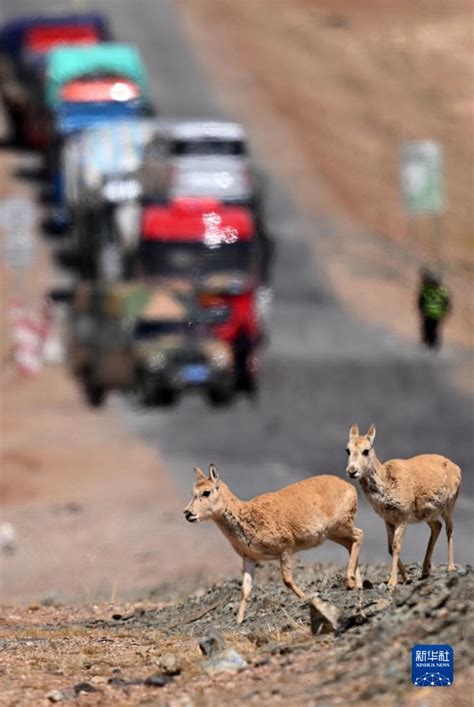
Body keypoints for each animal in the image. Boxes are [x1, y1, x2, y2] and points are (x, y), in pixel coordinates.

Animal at [183, 464, 362, 624]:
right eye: (192, 492)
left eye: (206, 492)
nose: (187, 513)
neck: (248, 517)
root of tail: (350, 487)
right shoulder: (248, 558)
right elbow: (245, 590)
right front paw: (238, 620)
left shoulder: (285, 549)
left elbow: (287, 580)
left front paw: (307, 597)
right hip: (333, 533)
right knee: (351, 543)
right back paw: (356, 583)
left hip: (341, 525)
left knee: (359, 535)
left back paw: (349, 580)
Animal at [346, 426, 462, 588]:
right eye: (347, 450)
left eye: (366, 450)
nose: (351, 471)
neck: (386, 481)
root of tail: (455, 467)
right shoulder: (388, 520)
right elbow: (389, 547)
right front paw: (406, 577)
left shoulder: (403, 519)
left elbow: (396, 546)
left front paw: (392, 582)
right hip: (428, 515)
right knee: (437, 527)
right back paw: (425, 571)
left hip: (448, 507)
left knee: (449, 529)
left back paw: (451, 567)